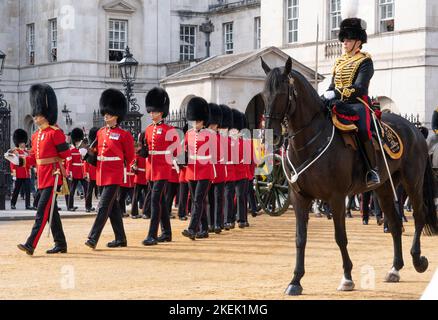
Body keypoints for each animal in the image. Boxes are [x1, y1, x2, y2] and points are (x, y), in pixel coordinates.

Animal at [262, 56, 436, 296]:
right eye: (263, 94)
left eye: (281, 93)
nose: (271, 136)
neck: (310, 141)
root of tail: (415, 129)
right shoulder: (299, 197)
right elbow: (300, 238)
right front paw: (295, 280)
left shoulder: (336, 197)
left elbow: (340, 237)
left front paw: (347, 277)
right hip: (384, 187)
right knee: (394, 223)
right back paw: (395, 268)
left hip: (412, 182)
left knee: (419, 215)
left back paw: (418, 260)